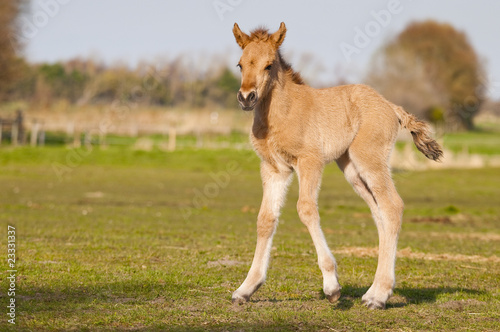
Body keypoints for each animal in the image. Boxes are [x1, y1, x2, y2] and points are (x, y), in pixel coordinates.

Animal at [230, 22, 442, 308]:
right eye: (240, 64)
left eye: (269, 65)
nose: (246, 97)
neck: (283, 113)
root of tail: (391, 107)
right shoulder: (275, 169)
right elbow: (266, 219)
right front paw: (246, 288)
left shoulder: (310, 161)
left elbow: (306, 209)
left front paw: (331, 286)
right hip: (352, 169)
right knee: (379, 213)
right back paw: (373, 292)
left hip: (370, 160)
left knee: (392, 206)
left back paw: (380, 296)